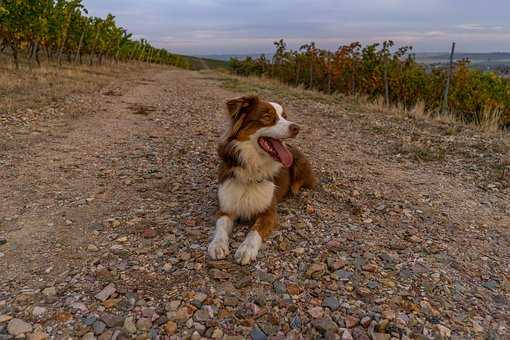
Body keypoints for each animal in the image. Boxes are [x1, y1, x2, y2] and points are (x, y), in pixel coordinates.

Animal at [207, 95, 314, 266]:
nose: (297, 128)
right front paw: (217, 245)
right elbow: (221, 225)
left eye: (285, 116)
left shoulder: (269, 212)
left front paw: (246, 249)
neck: (252, 168)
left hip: (300, 163)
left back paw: (295, 189)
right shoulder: (226, 207)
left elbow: (254, 231)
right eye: (267, 116)